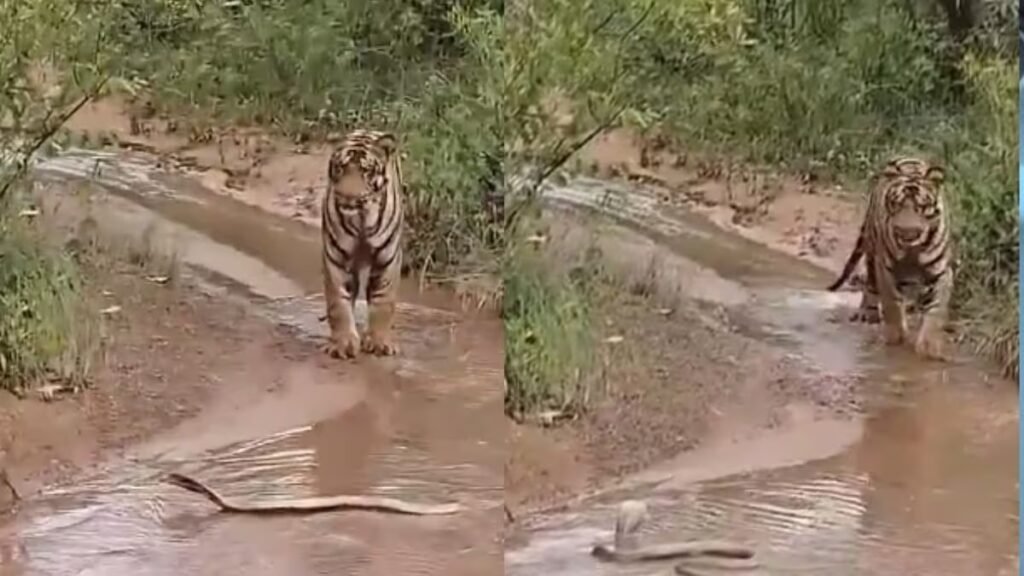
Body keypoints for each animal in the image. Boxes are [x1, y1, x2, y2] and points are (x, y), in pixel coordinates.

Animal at [321, 129, 404, 359]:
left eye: (365, 170)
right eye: (340, 167)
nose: (348, 195)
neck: (360, 219)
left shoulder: (387, 260)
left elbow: (383, 301)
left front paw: (379, 342)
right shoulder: (337, 259)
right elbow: (338, 304)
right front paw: (343, 344)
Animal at [827, 156, 954, 361]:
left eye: (920, 207)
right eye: (897, 204)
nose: (906, 231)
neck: (913, 250)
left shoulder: (941, 272)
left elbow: (937, 309)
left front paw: (929, 347)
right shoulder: (885, 268)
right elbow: (892, 304)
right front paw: (896, 338)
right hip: (872, 251)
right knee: (870, 286)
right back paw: (868, 314)